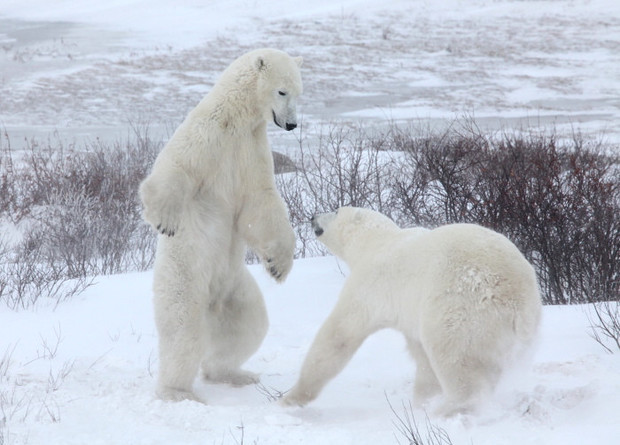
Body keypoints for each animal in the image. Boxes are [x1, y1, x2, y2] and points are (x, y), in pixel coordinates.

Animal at [141, 48, 306, 402]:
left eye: (298, 93)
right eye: (281, 91)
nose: (291, 124)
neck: (237, 119)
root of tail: (212, 304)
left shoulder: (252, 149)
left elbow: (259, 202)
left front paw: (279, 264)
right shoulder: (207, 135)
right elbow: (177, 165)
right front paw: (165, 218)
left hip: (236, 288)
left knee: (249, 327)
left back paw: (235, 374)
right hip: (185, 278)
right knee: (183, 330)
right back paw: (178, 392)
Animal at [284, 206, 540, 414]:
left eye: (336, 210)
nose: (313, 216)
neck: (377, 242)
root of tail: (515, 295)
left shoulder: (370, 285)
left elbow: (339, 335)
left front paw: (290, 398)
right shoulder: (410, 310)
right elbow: (421, 355)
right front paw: (421, 401)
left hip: (461, 305)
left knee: (454, 356)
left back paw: (447, 409)